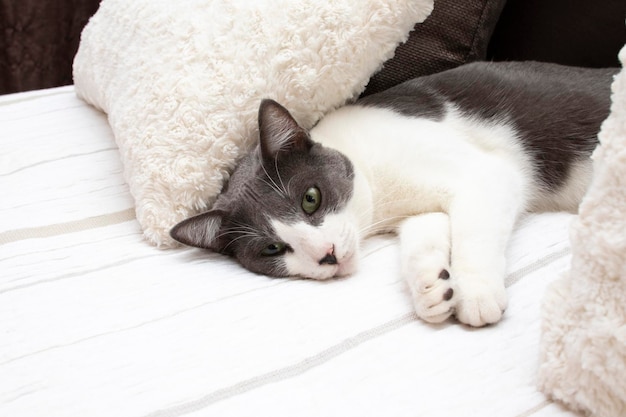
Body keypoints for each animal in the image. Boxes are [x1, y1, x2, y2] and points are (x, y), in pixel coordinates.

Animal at [168, 61, 612, 326]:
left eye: (310, 198)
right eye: (272, 249)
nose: (327, 254)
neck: (381, 192)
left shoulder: (488, 174)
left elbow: (473, 231)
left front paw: (475, 293)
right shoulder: (419, 210)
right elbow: (423, 238)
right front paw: (433, 288)